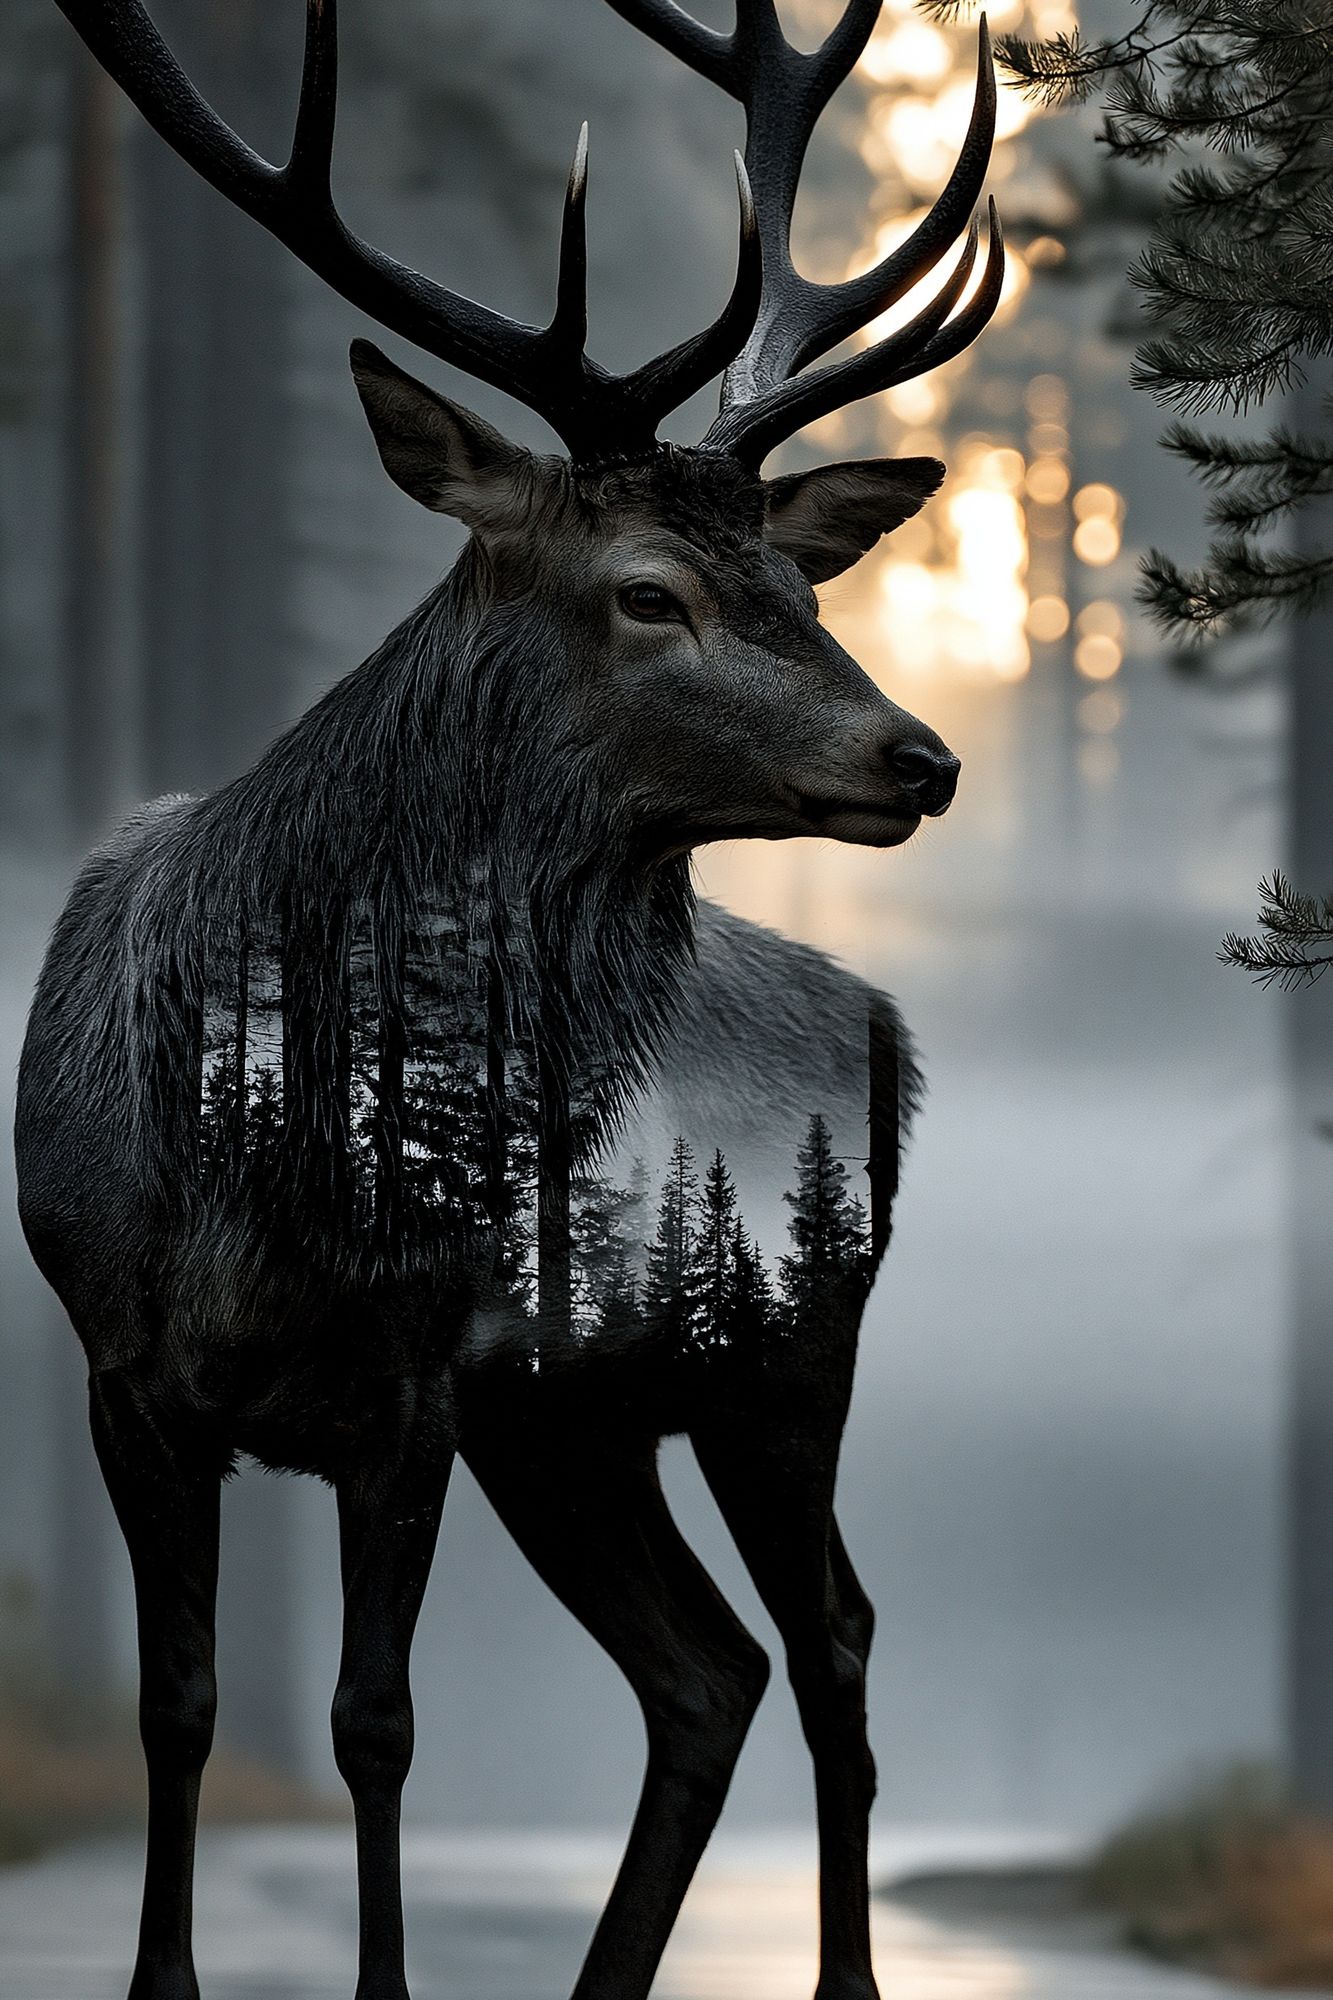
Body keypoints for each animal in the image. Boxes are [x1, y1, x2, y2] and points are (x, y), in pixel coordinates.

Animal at [16, 3, 1001, 1997]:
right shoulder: (123, 1365)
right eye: (648, 591)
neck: (272, 1164)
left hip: (788, 1351)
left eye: (798, 581)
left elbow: (373, 1722)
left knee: (834, 1643)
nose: (919, 756)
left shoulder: (410, 1374)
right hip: (572, 1424)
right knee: (706, 1670)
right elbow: (179, 1709)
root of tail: (887, 1028)